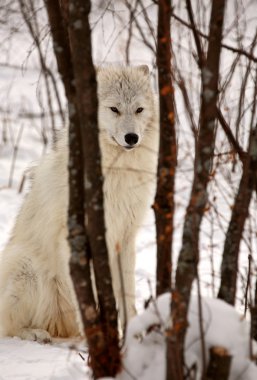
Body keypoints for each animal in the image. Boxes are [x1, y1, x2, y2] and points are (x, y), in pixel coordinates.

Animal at [0, 65, 158, 342]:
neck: (116, 173)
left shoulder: (125, 238)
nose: (132, 137)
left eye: (139, 109)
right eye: (114, 109)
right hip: (27, 268)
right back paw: (36, 334)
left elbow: (127, 296)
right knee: (8, 329)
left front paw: (132, 337)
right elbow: (88, 297)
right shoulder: (75, 240)